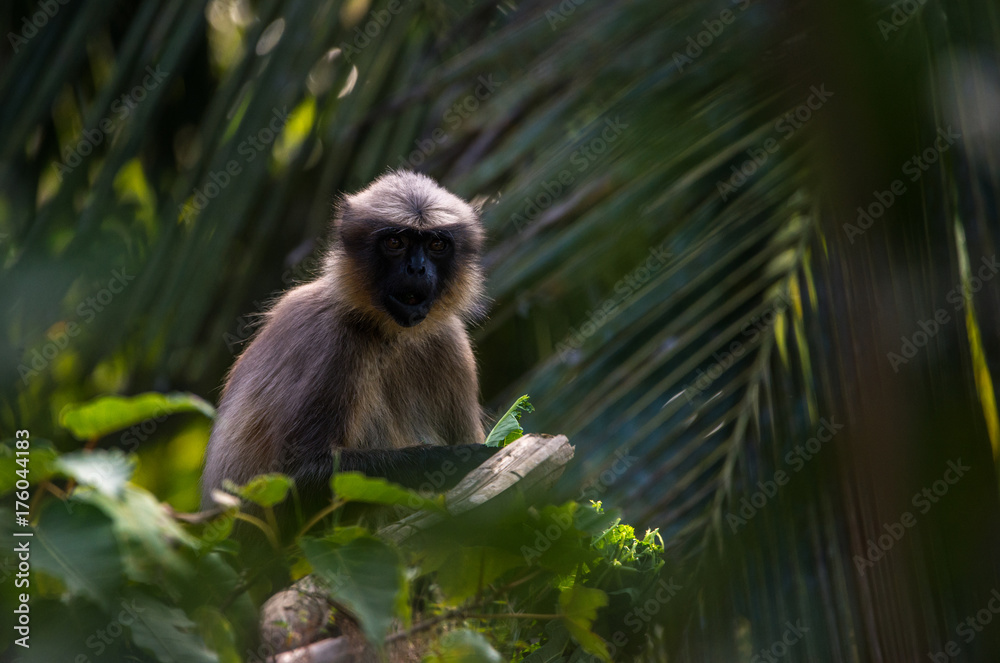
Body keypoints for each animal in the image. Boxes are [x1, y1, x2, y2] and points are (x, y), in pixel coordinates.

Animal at [200, 170, 497, 520]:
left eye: (436, 244)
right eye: (395, 243)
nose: (417, 268)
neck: (387, 333)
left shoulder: (449, 338)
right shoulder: (332, 338)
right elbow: (295, 477)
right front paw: (463, 458)